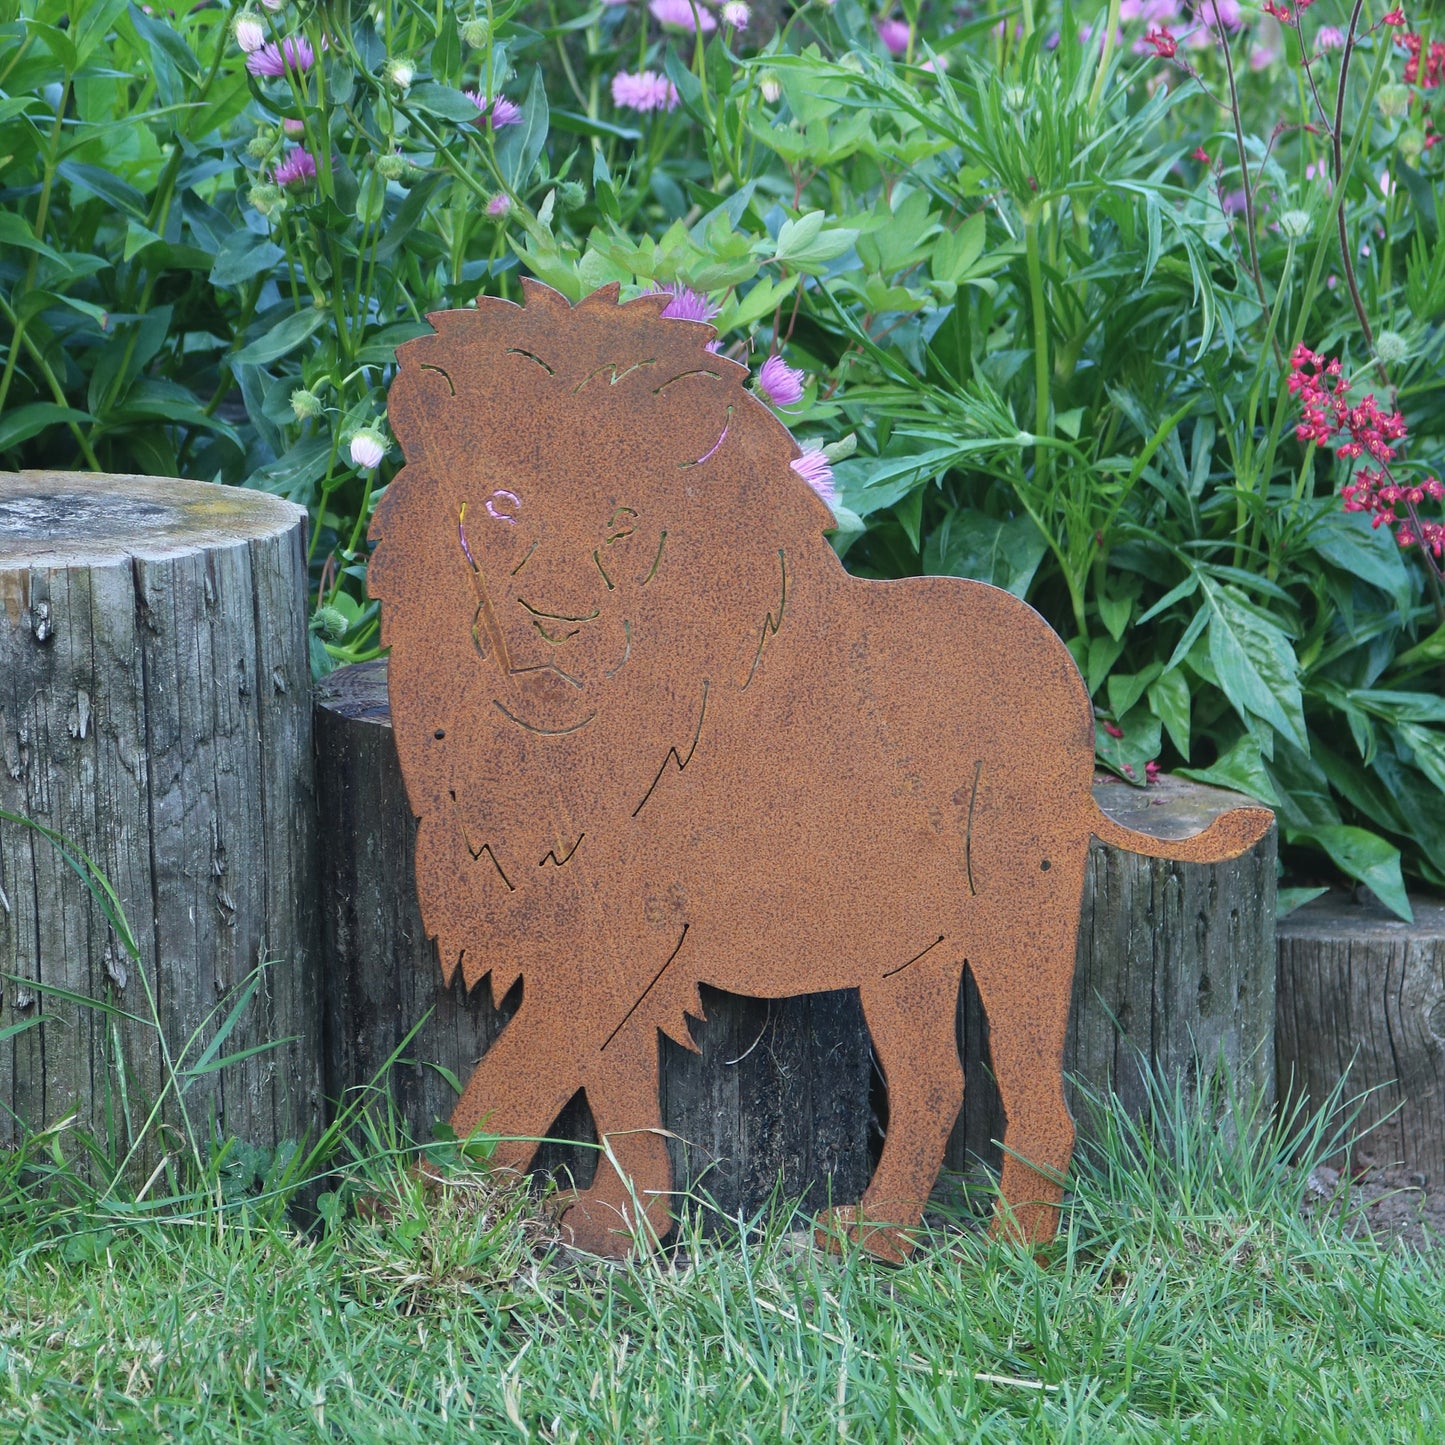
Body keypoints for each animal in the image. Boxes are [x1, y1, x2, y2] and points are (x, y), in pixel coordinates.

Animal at [367, 280, 1273, 1260]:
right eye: (502, 504)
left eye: (625, 524)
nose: (556, 621)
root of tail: (1062, 668)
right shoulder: (587, 913)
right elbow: (616, 1082)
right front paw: (621, 1228)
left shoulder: (628, 928)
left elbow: (515, 1077)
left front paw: (424, 1210)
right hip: (908, 944)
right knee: (935, 1083)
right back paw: (871, 1239)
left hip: (1016, 906)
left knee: (1038, 1096)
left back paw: (1010, 1252)